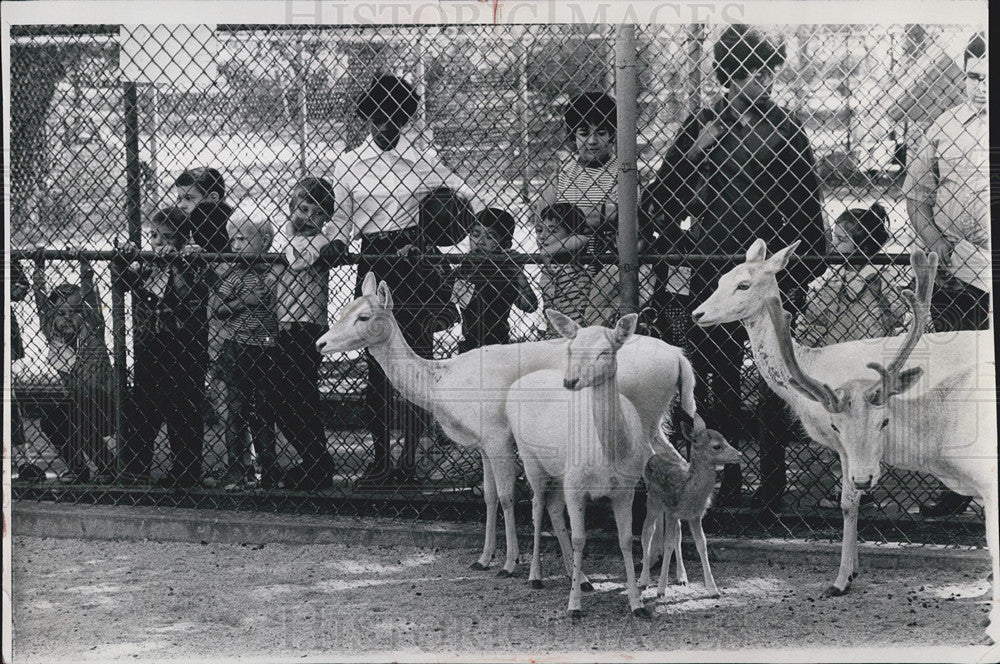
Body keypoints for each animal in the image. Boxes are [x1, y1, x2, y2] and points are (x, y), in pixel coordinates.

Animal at [316, 272, 700, 580]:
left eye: (364, 315)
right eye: (342, 310)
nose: (321, 342)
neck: (444, 385)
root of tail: (679, 357)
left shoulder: (498, 434)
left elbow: (506, 495)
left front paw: (510, 563)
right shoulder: (482, 442)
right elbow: (487, 496)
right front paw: (483, 558)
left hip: (644, 415)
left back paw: (659, 563)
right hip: (656, 420)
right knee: (675, 463)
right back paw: (665, 562)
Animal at [504, 314, 652, 620]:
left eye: (605, 351)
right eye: (571, 349)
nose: (570, 380)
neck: (609, 456)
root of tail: (517, 384)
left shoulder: (627, 488)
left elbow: (625, 540)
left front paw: (638, 604)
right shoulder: (576, 485)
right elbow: (580, 538)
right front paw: (573, 608)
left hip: (561, 473)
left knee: (553, 509)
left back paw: (582, 579)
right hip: (530, 458)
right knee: (537, 508)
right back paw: (535, 576)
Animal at [640, 428, 744, 600]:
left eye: (725, 439)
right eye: (716, 446)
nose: (739, 454)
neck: (687, 489)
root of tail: (653, 457)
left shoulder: (695, 515)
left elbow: (701, 544)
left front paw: (713, 590)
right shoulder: (671, 511)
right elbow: (667, 544)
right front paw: (661, 590)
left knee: (678, 536)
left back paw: (682, 577)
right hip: (653, 501)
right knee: (647, 532)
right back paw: (643, 580)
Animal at [692, 240, 996, 608]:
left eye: (743, 285)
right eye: (721, 278)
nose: (697, 314)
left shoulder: (846, 444)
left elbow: (848, 503)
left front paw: (841, 580)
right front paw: (852, 571)